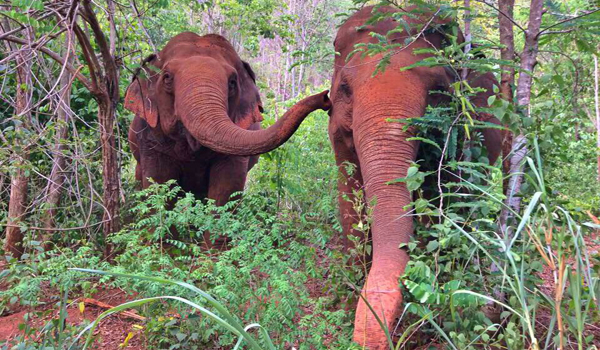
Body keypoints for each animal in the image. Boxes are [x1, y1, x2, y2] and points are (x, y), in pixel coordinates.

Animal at [126, 33, 330, 213]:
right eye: (167, 77)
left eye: (232, 82)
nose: (326, 97)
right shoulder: (150, 138)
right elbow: (158, 185)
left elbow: (226, 188)